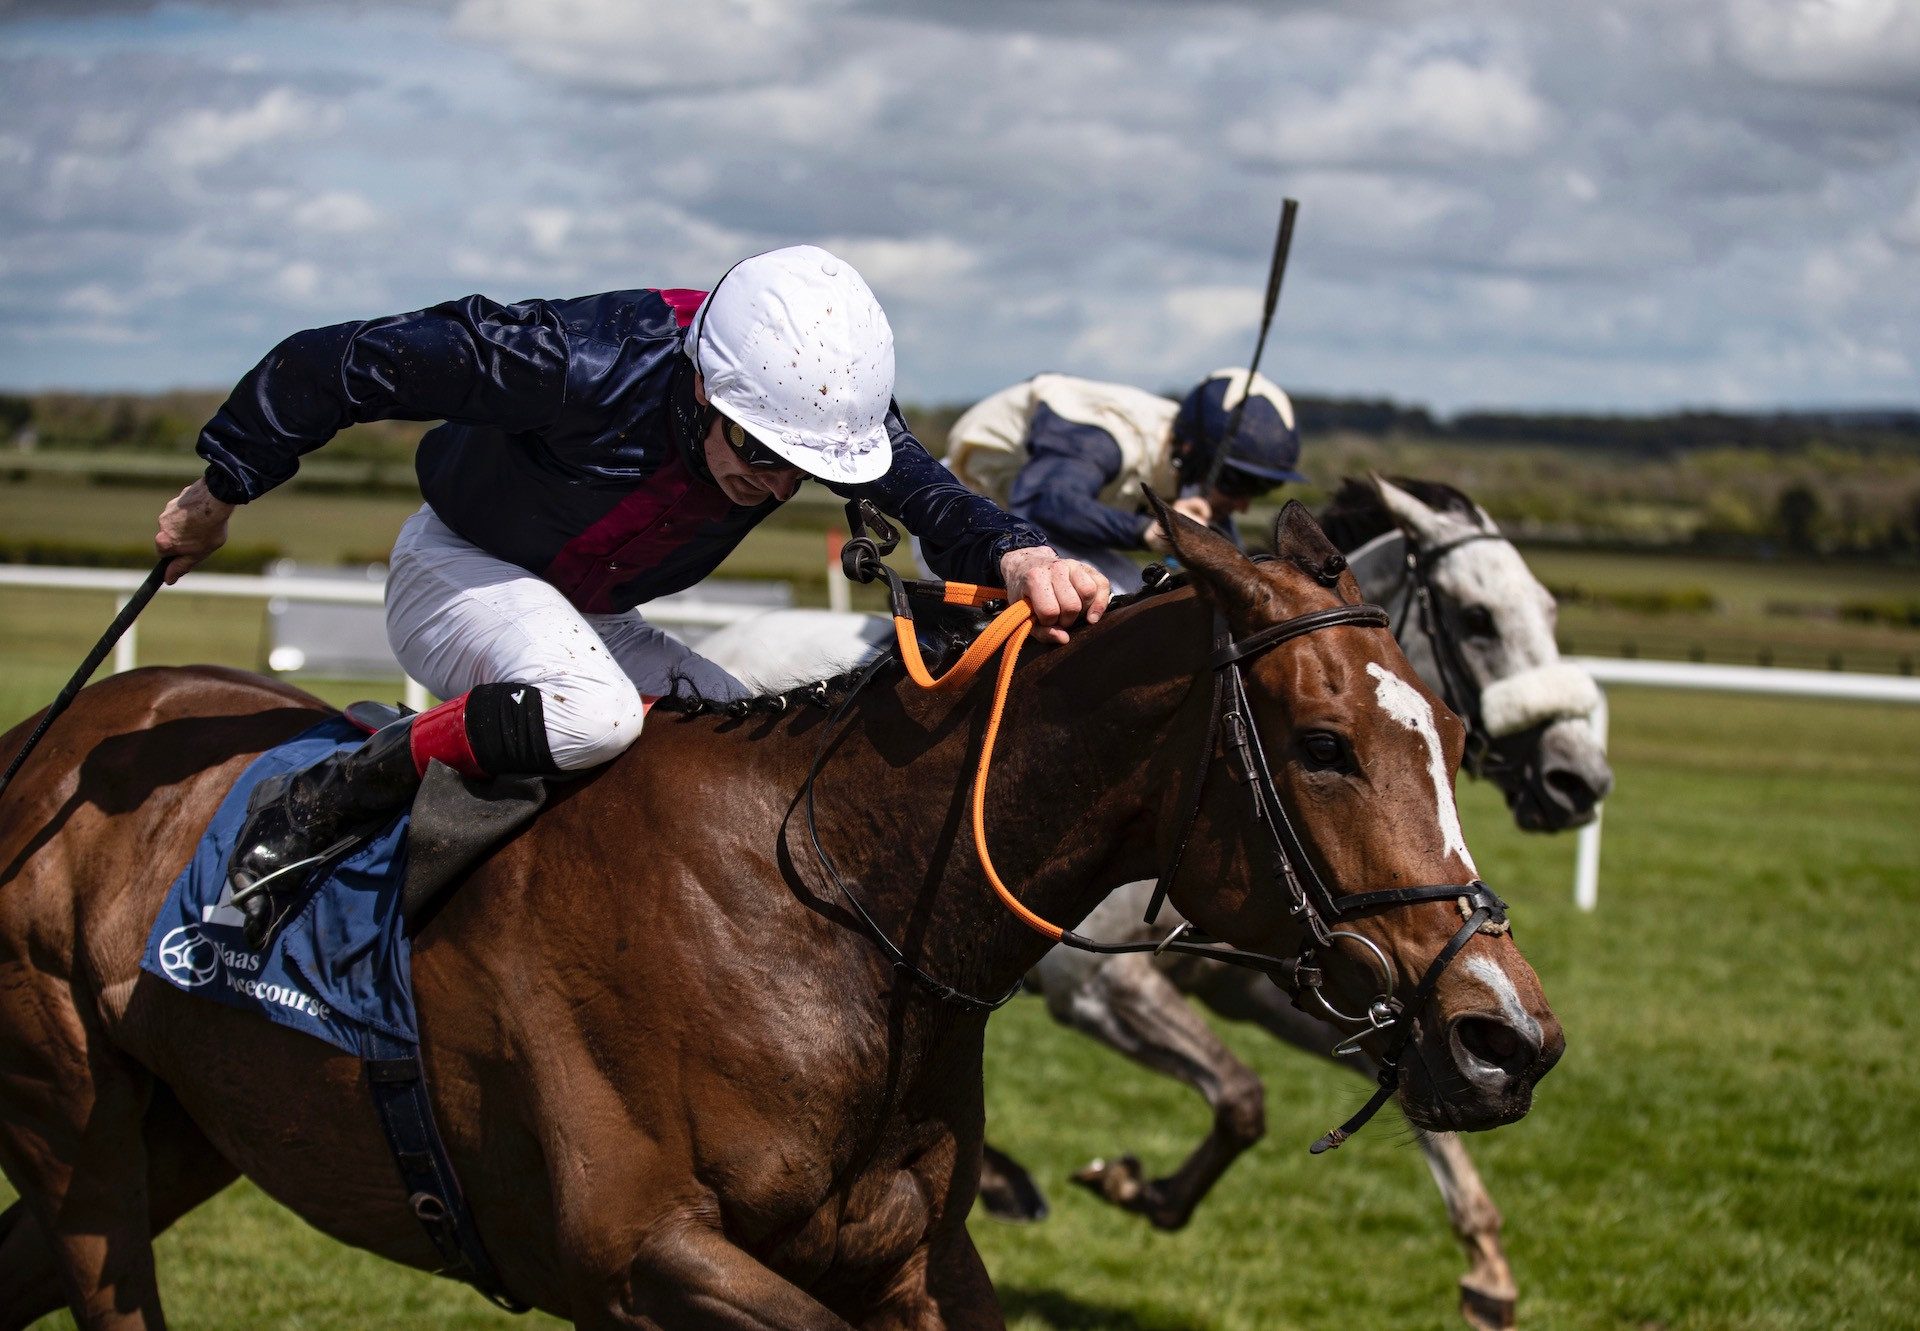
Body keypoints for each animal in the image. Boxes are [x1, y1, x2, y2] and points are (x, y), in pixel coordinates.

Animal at [0, 503, 1559, 1321]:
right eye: (1323, 743)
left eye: (1443, 736)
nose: (1508, 1035)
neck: (836, 917)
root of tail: (52, 740)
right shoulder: (643, 1259)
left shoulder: (916, 1257)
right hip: (86, 1145)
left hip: (186, 1131)